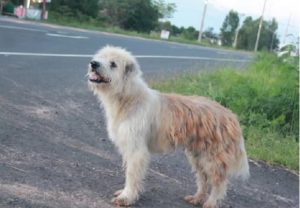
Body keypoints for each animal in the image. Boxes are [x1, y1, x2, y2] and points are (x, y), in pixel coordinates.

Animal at [86, 46, 248, 208]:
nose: (93, 63)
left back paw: (211, 202)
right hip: (198, 156)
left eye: (113, 64)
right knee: (204, 179)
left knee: (219, 183)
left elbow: (131, 174)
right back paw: (197, 198)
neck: (128, 97)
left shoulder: (137, 151)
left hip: (212, 159)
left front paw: (126, 197)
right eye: (100, 57)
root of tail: (231, 116)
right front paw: (125, 193)